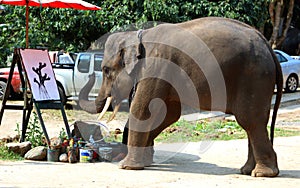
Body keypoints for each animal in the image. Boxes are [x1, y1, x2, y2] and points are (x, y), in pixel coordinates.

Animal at [78, 16, 282, 177]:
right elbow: (168, 114)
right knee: (252, 124)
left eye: (106, 70)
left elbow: (143, 109)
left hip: (254, 78)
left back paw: (262, 173)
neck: (137, 35)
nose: (89, 74)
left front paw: (126, 167)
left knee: (251, 121)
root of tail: (268, 45)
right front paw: (146, 163)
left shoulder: (155, 67)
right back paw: (247, 170)